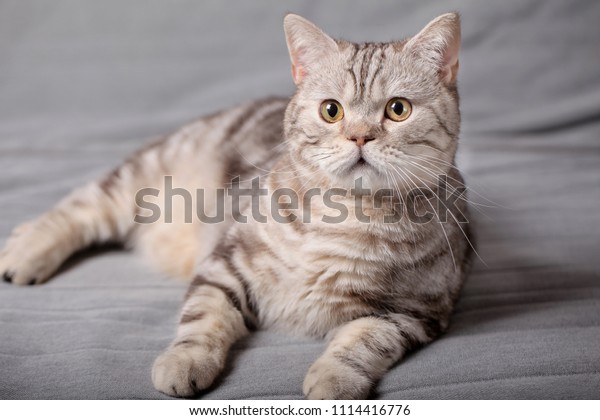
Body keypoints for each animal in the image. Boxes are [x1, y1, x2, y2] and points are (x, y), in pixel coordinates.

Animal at [0, 13, 474, 400]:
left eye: (398, 109)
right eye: (331, 111)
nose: (359, 135)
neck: (349, 216)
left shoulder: (414, 313)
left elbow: (364, 342)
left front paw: (333, 379)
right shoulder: (226, 262)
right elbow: (203, 317)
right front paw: (184, 361)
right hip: (139, 180)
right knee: (77, 207)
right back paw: (24, 251)